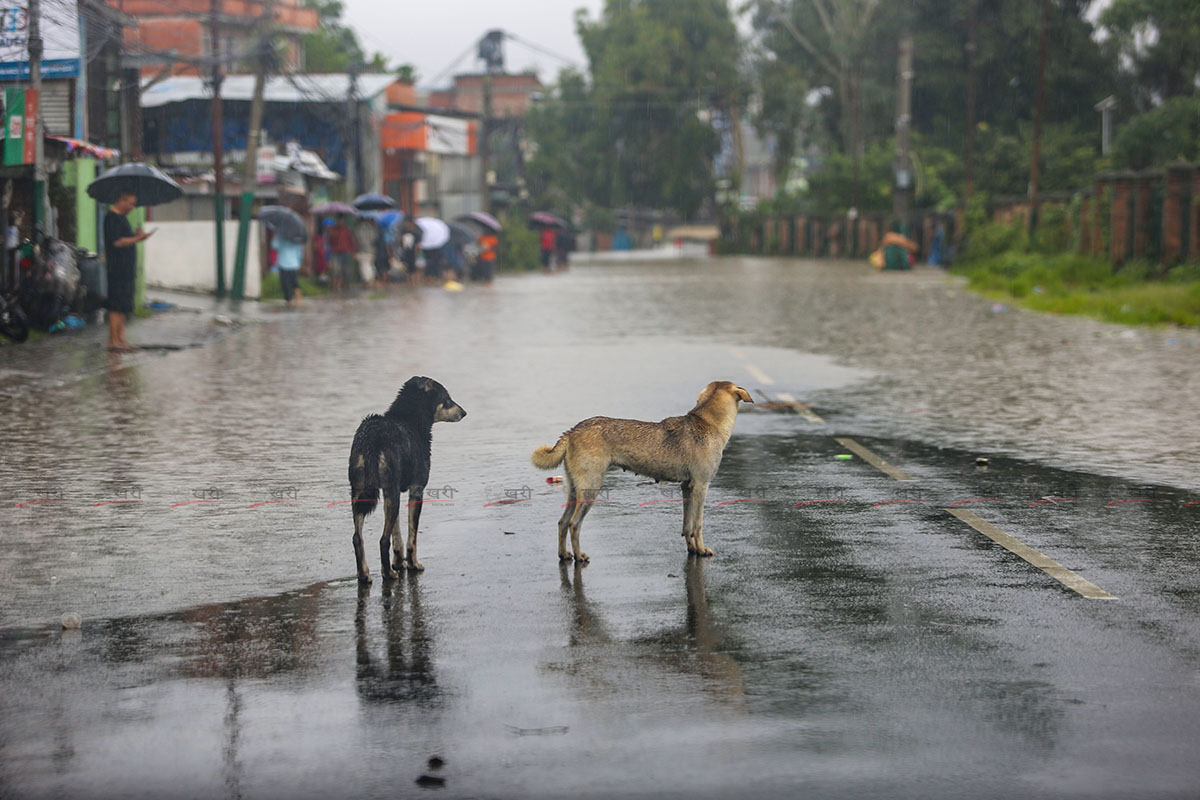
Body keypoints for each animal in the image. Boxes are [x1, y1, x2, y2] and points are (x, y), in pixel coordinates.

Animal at [350, 376, 465, 582]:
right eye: (447, 399)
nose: (464, 413)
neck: (410, 420)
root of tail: (371, 438)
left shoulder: (389, 492)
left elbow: (397, 535)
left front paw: (398, 562)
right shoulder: (416, 489)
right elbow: (412, 536)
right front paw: (412, 564)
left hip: (360, 492)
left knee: (357, 538)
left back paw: (364, 574)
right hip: (389, 492)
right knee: (382, 539)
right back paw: (388, 573)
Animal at [532, 383, 748, 563]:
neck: (708, 423)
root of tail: (572, 431)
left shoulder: (686, 487)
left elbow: (687, 526)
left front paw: (692, 549)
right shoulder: (701, 487)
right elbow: (698, 525)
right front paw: (702, 550)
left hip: (574, 491)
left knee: (562, 522)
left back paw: (564, 554)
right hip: (590, 490)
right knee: (574, 524)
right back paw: (579, 556)